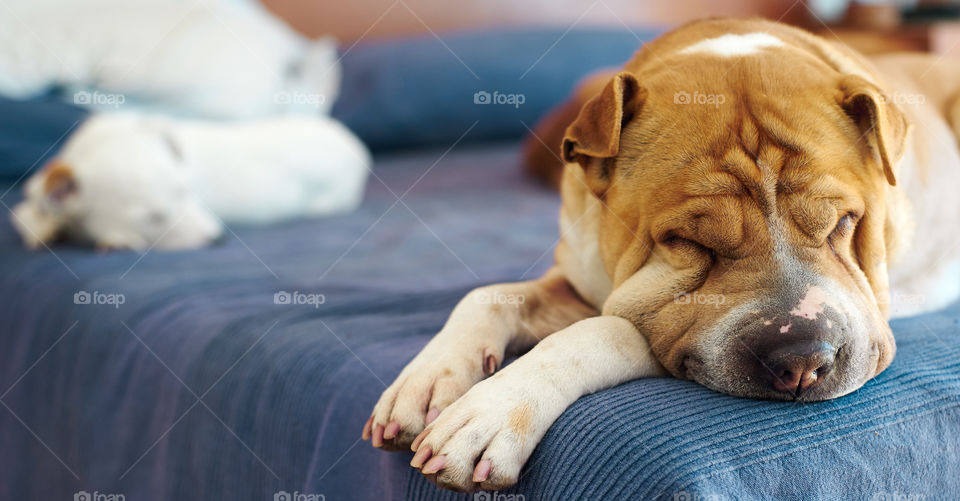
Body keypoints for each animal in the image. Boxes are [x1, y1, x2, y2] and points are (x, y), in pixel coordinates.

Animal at [11, 115, 372, 252]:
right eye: (154, 218)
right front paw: (42, 227)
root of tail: (354, 145)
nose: (217, 239)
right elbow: (25, 212)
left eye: (188, 192)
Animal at [358, 17, 960, 490]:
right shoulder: (579, 278)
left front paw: (489, 412)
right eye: (690, 243)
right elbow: (489, 295)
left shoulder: (651, 323)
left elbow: (604, 330)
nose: (802, 358)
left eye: (842, 224)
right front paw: (427, 382)